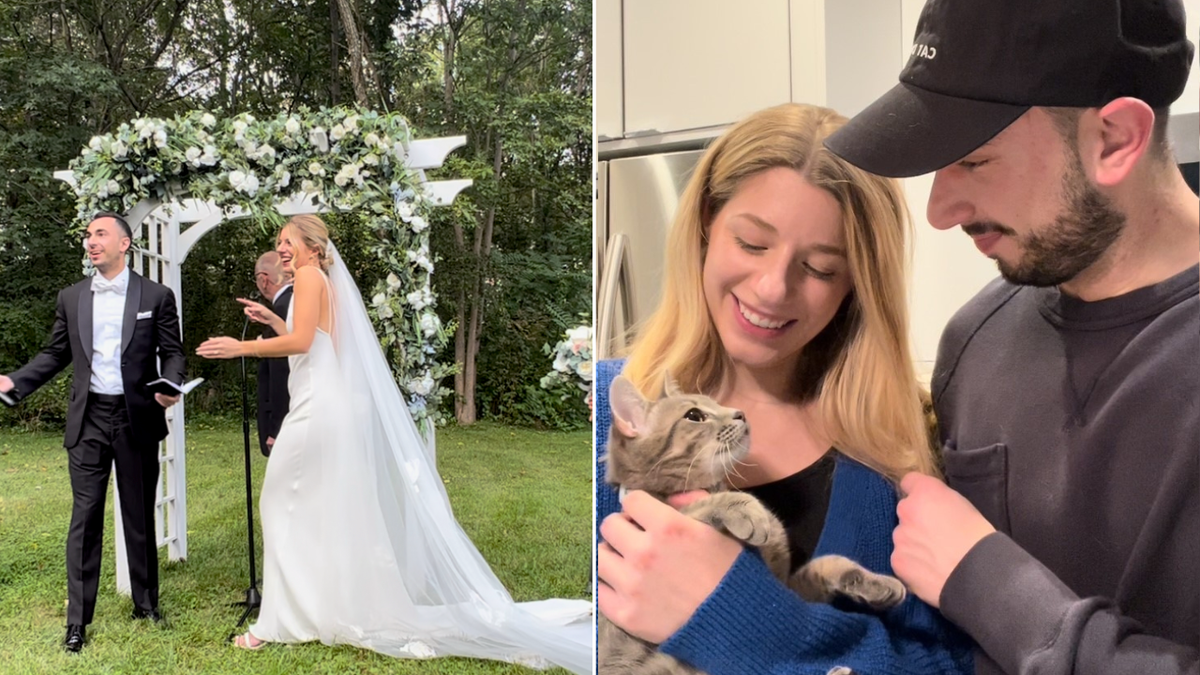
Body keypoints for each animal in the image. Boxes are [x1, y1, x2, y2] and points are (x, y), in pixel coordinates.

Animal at [595, 372, 902, 672]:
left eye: (716, 403)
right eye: (694, 415)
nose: (739, 413)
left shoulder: (787, 583)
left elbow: (831, 562)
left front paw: (877, 582)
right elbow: (697, 508)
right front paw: (745, 508)